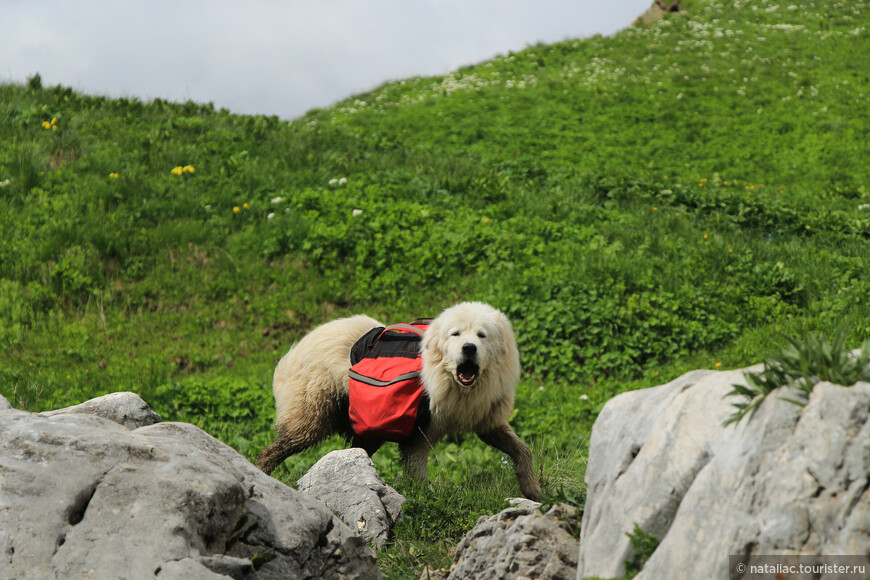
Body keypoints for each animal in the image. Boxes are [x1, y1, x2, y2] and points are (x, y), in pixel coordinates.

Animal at [258, 302, 540, 500]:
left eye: (482, 335)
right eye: (456, 334)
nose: (468, 348)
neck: (455, 384)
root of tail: (293, 350)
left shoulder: (486, 417)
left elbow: (522, 450)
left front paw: (533, 488)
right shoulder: (419, 431)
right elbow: (417, 471)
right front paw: (423, 497)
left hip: (367, 425)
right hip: (312, 415)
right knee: (273, 450)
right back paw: (263, 475)